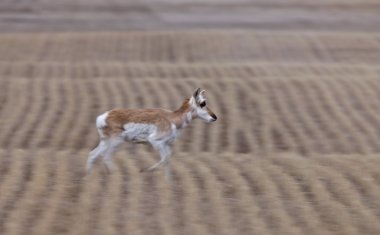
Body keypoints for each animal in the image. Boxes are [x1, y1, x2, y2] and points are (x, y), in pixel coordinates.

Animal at [86, 88, 217, 178]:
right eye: (203, 103)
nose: (215, 117)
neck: (172, 119)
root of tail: (103, 116)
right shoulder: (155, 141)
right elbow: (164, 158)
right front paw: (145, 170)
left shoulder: (166, 144)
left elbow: (168, 158)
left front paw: (168, 181)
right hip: (116, 142)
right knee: (106, 156)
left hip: (106, 142)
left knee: (93, 154)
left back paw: (89, 178)